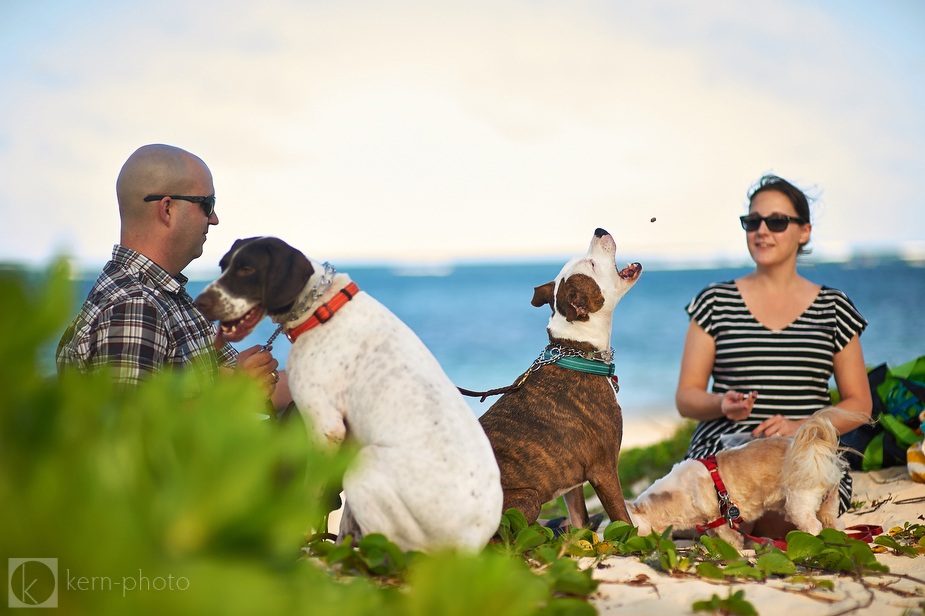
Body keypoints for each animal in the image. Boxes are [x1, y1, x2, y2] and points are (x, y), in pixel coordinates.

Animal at [191, 236, 502, 552]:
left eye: (247, 269)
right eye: (223, 266)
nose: (199, 301)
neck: (321, 308)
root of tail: (469, 543)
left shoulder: (325, 428)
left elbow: (310, 494)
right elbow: (343, 523)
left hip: (367, 470)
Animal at [476, 229, 644, 532]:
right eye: (592, 265)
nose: (599, 230)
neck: (576, 348)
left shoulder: (572, 483)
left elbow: (580, 523)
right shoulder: (603, 469)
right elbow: (623, 521)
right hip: (527, 499)